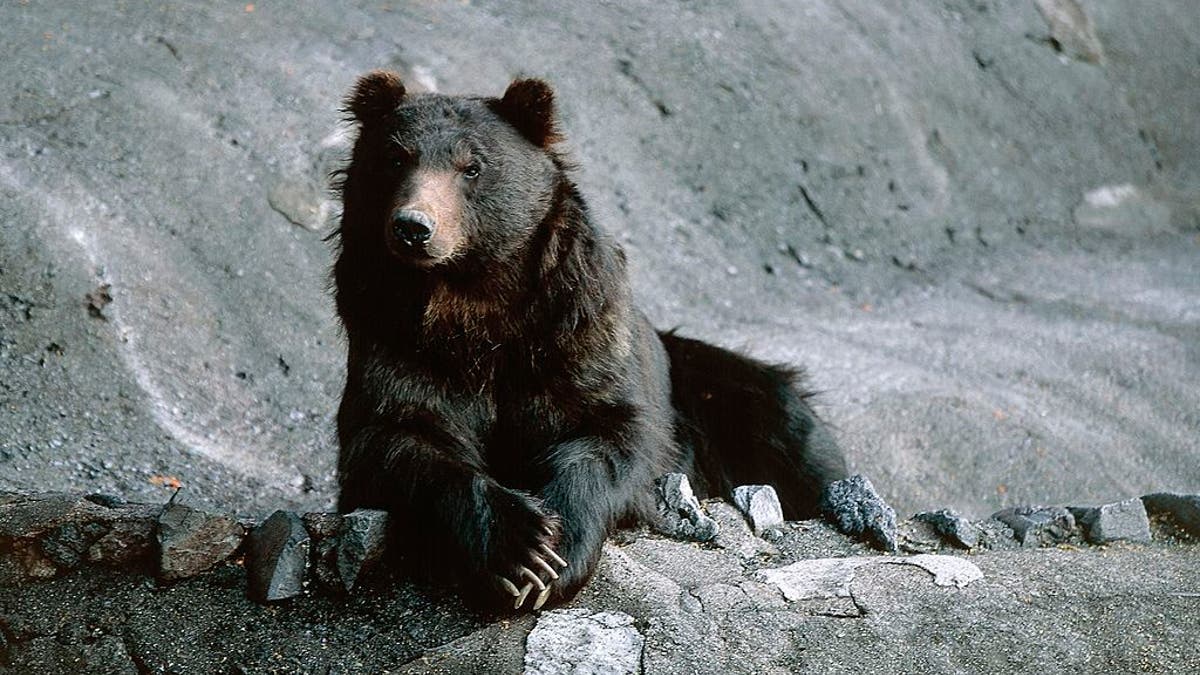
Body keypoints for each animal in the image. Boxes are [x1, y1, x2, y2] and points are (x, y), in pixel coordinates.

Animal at [333, 70, 888, 612]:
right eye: (395, 158)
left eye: (472, 167)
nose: (413, 227)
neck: (473, 303)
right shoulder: (394, 338)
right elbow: (399, 436)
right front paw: (518, 548)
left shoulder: (576, 333)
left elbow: (612, 434)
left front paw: (555, 553)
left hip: (725, 396)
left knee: (789, 436)